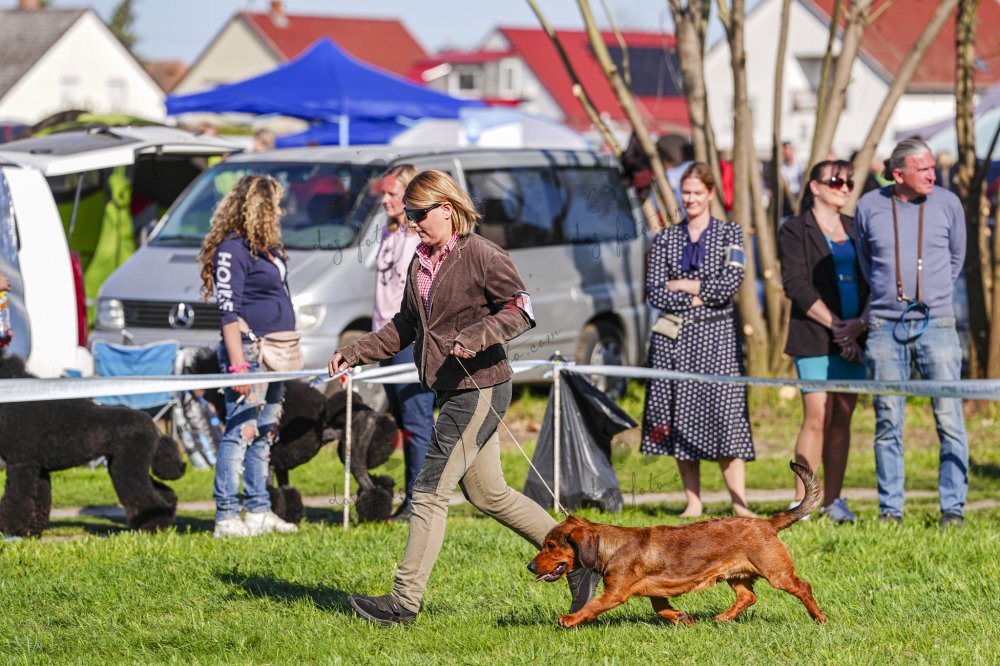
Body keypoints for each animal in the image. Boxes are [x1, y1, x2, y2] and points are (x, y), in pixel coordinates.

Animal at [528, 461, 826, 627]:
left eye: (551, 546)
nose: (530, 567)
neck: (610, 546)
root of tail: (767, 523)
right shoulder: (655, 592)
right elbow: (661, 608)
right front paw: (682, 618)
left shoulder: (615, 593)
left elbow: (591, 607)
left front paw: (569, 620)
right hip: (736, 575)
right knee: (747, 596)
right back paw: (723, 618)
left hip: (777, 573)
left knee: (804, 587)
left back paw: (820, 618)